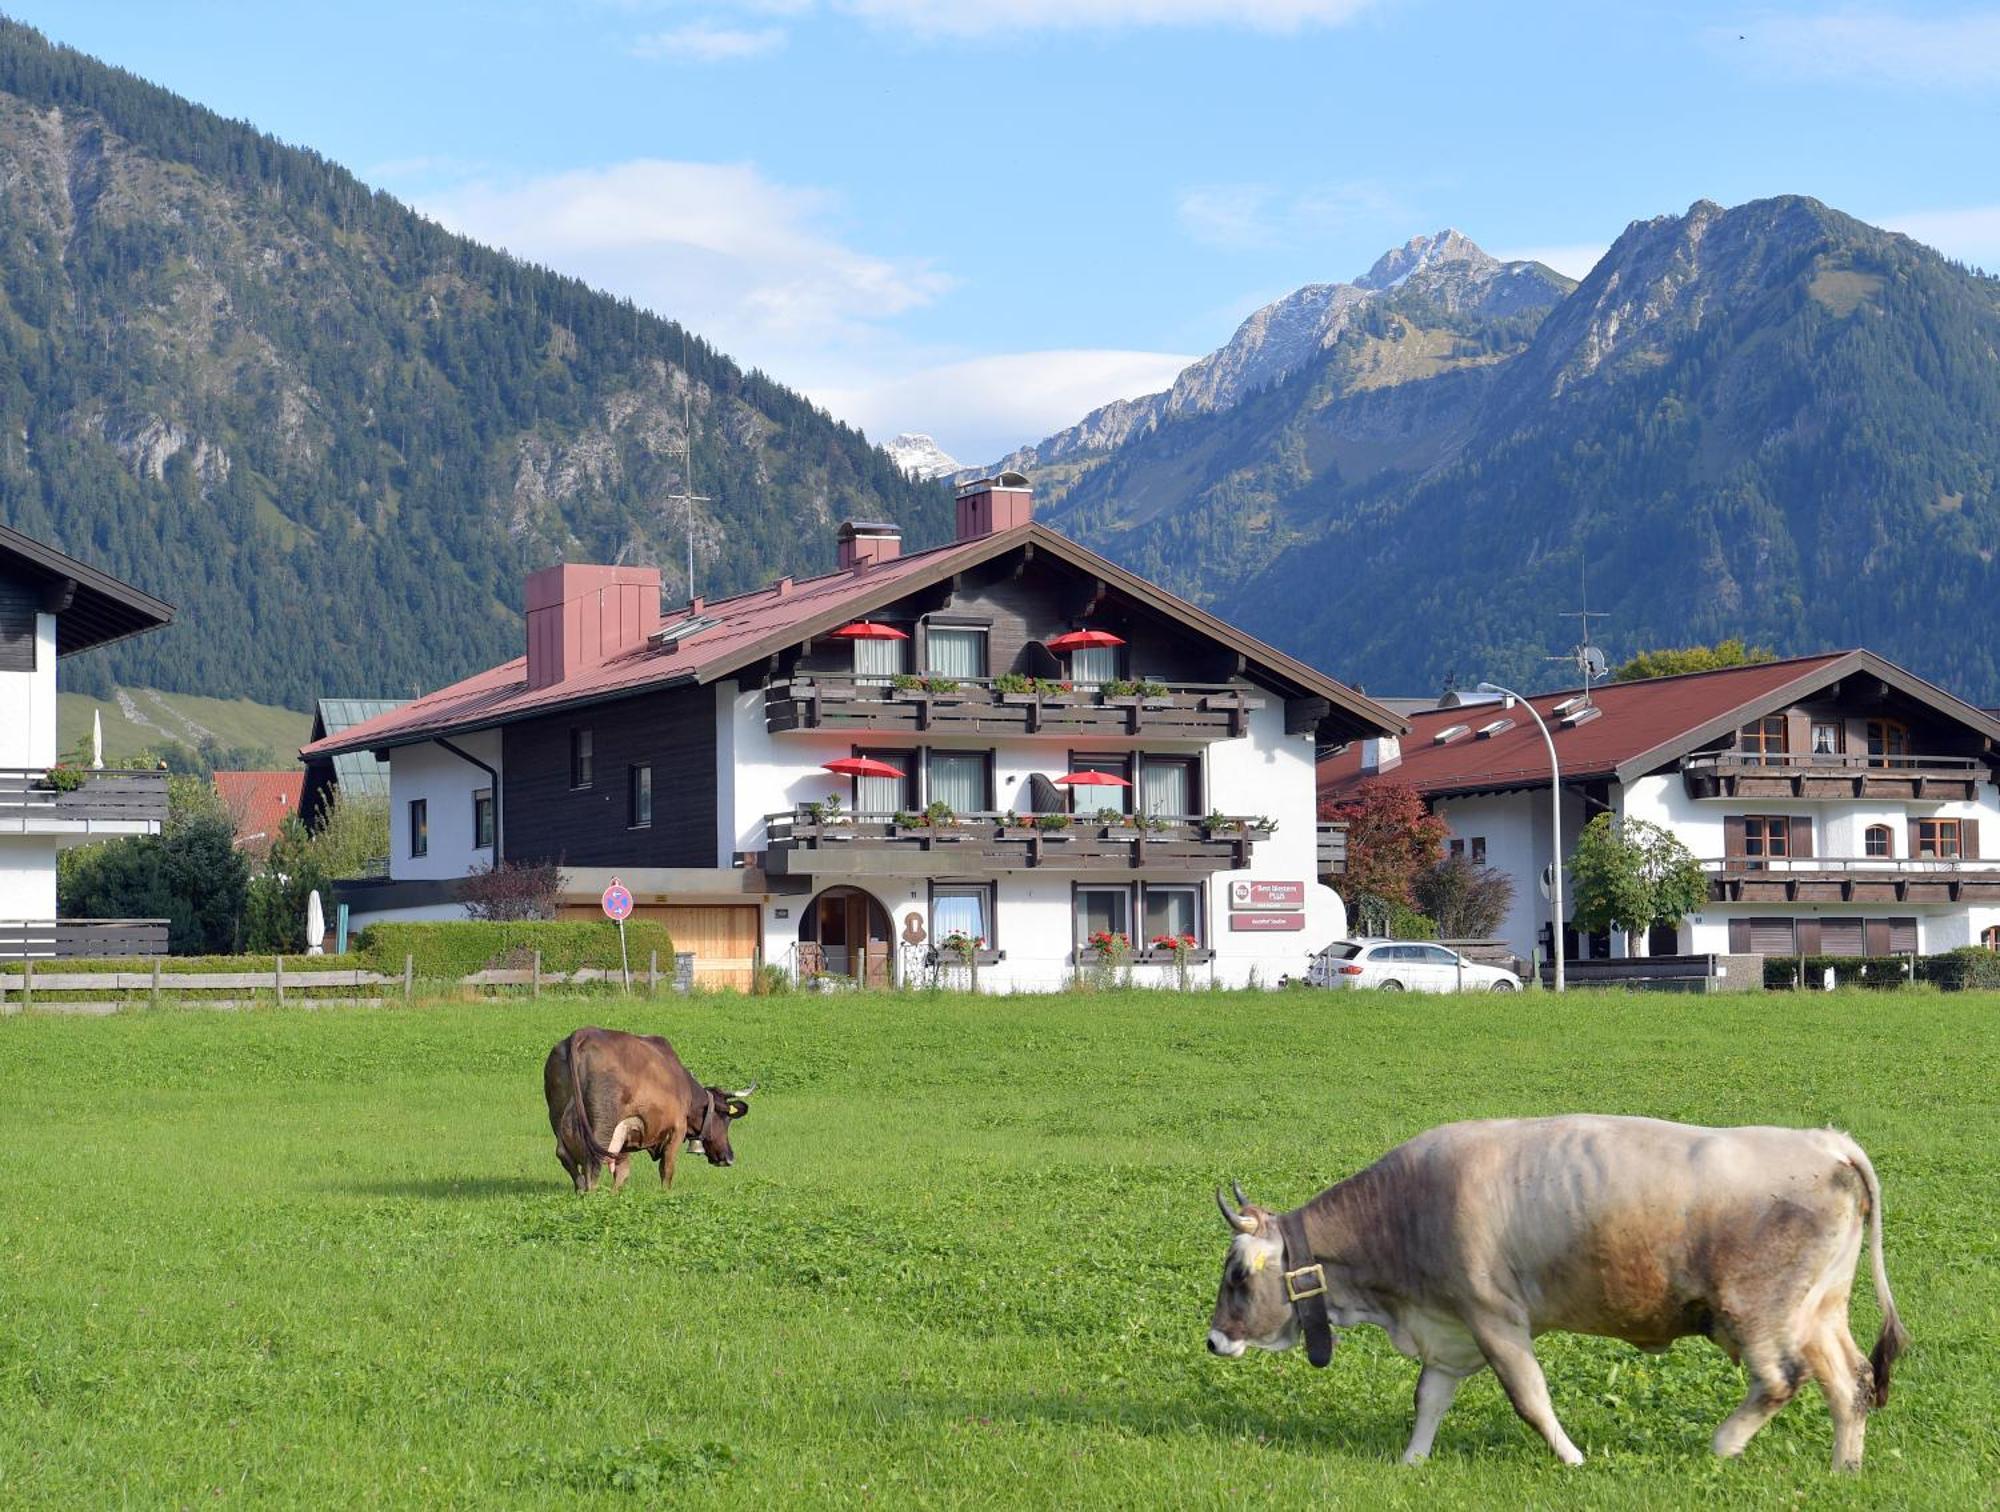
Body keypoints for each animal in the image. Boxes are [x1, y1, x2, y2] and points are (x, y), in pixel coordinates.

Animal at [544, 1024, 752, 1192]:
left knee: (563, 1153)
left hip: (558, 1114)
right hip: (603, 1124)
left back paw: (579, 1188)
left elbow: (623, 1172)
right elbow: (667, 1170)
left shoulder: (625, 1135)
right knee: (593, 1161)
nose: (729, 1157)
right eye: (726, 1119)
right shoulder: (676, 1130)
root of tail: (583, 1033)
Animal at [1200, 1120, 1904, 1472]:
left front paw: (1571, 1458)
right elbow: (1429, 1400)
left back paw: (1724, 1445)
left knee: (1781, 1380)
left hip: (1759, 1314)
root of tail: (1826, 1140)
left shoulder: (1495, 1319)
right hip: (1820, 1311)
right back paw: (1844, 1468)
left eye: (1238, 1276)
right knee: (1852, 1382)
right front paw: (1410, 1461)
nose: (1212, 1339)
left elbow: (1530, 1399)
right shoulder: (1449, 1331)